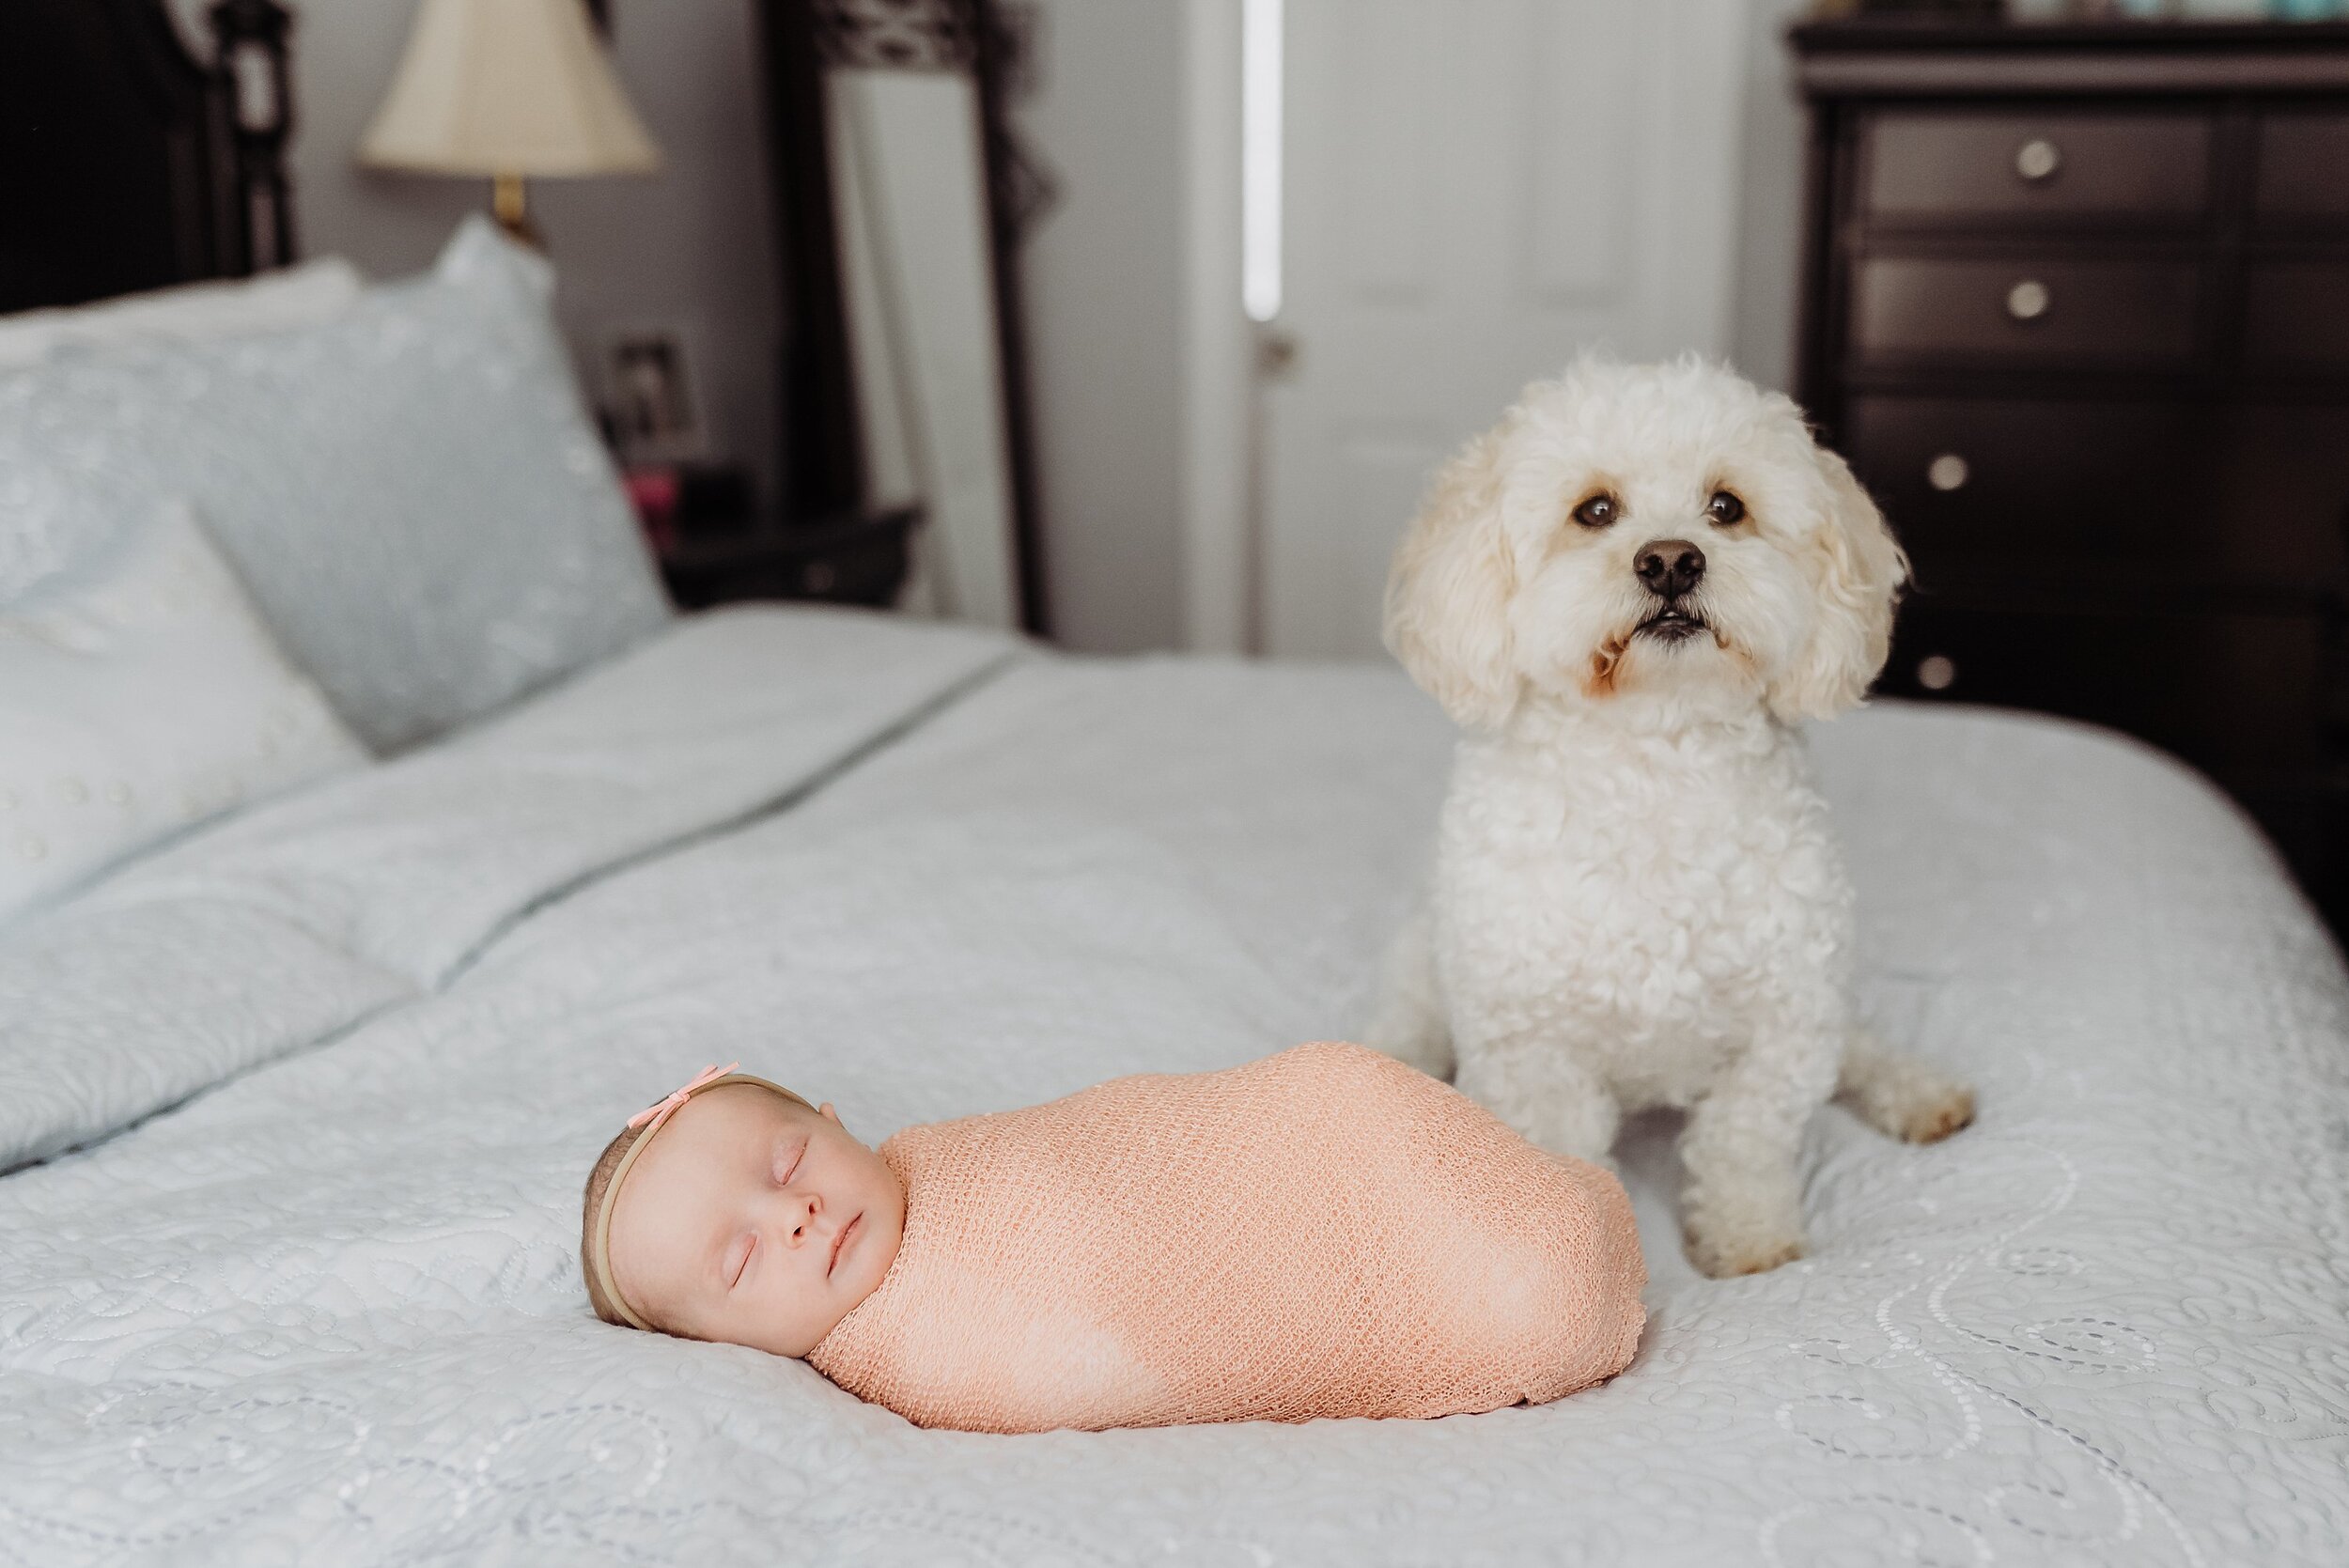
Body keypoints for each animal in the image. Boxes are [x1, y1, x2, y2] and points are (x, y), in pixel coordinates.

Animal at [1372, 354, 1973, 1277]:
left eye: (1726, 506)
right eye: (1595, 510)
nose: (1670, 561)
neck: (1658, 759)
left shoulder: (1785, 1020)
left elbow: (1743, 1141)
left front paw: (1750, 1242)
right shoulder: (1536, 1054)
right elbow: (1565, 1164)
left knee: (1858, 1048)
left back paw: (1919, 1092)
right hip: (1425, 974)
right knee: (1405, 1031)